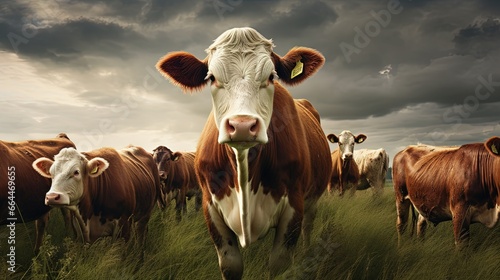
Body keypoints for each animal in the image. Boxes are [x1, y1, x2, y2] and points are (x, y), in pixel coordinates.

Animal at [156, 27, 334, 278]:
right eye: (212, 77)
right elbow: (231, 265)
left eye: (271, 76)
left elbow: (278, 264)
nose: (241, 125)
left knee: (309, 227)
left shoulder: (294, 207)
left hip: (312, 201)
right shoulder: (210, 207)